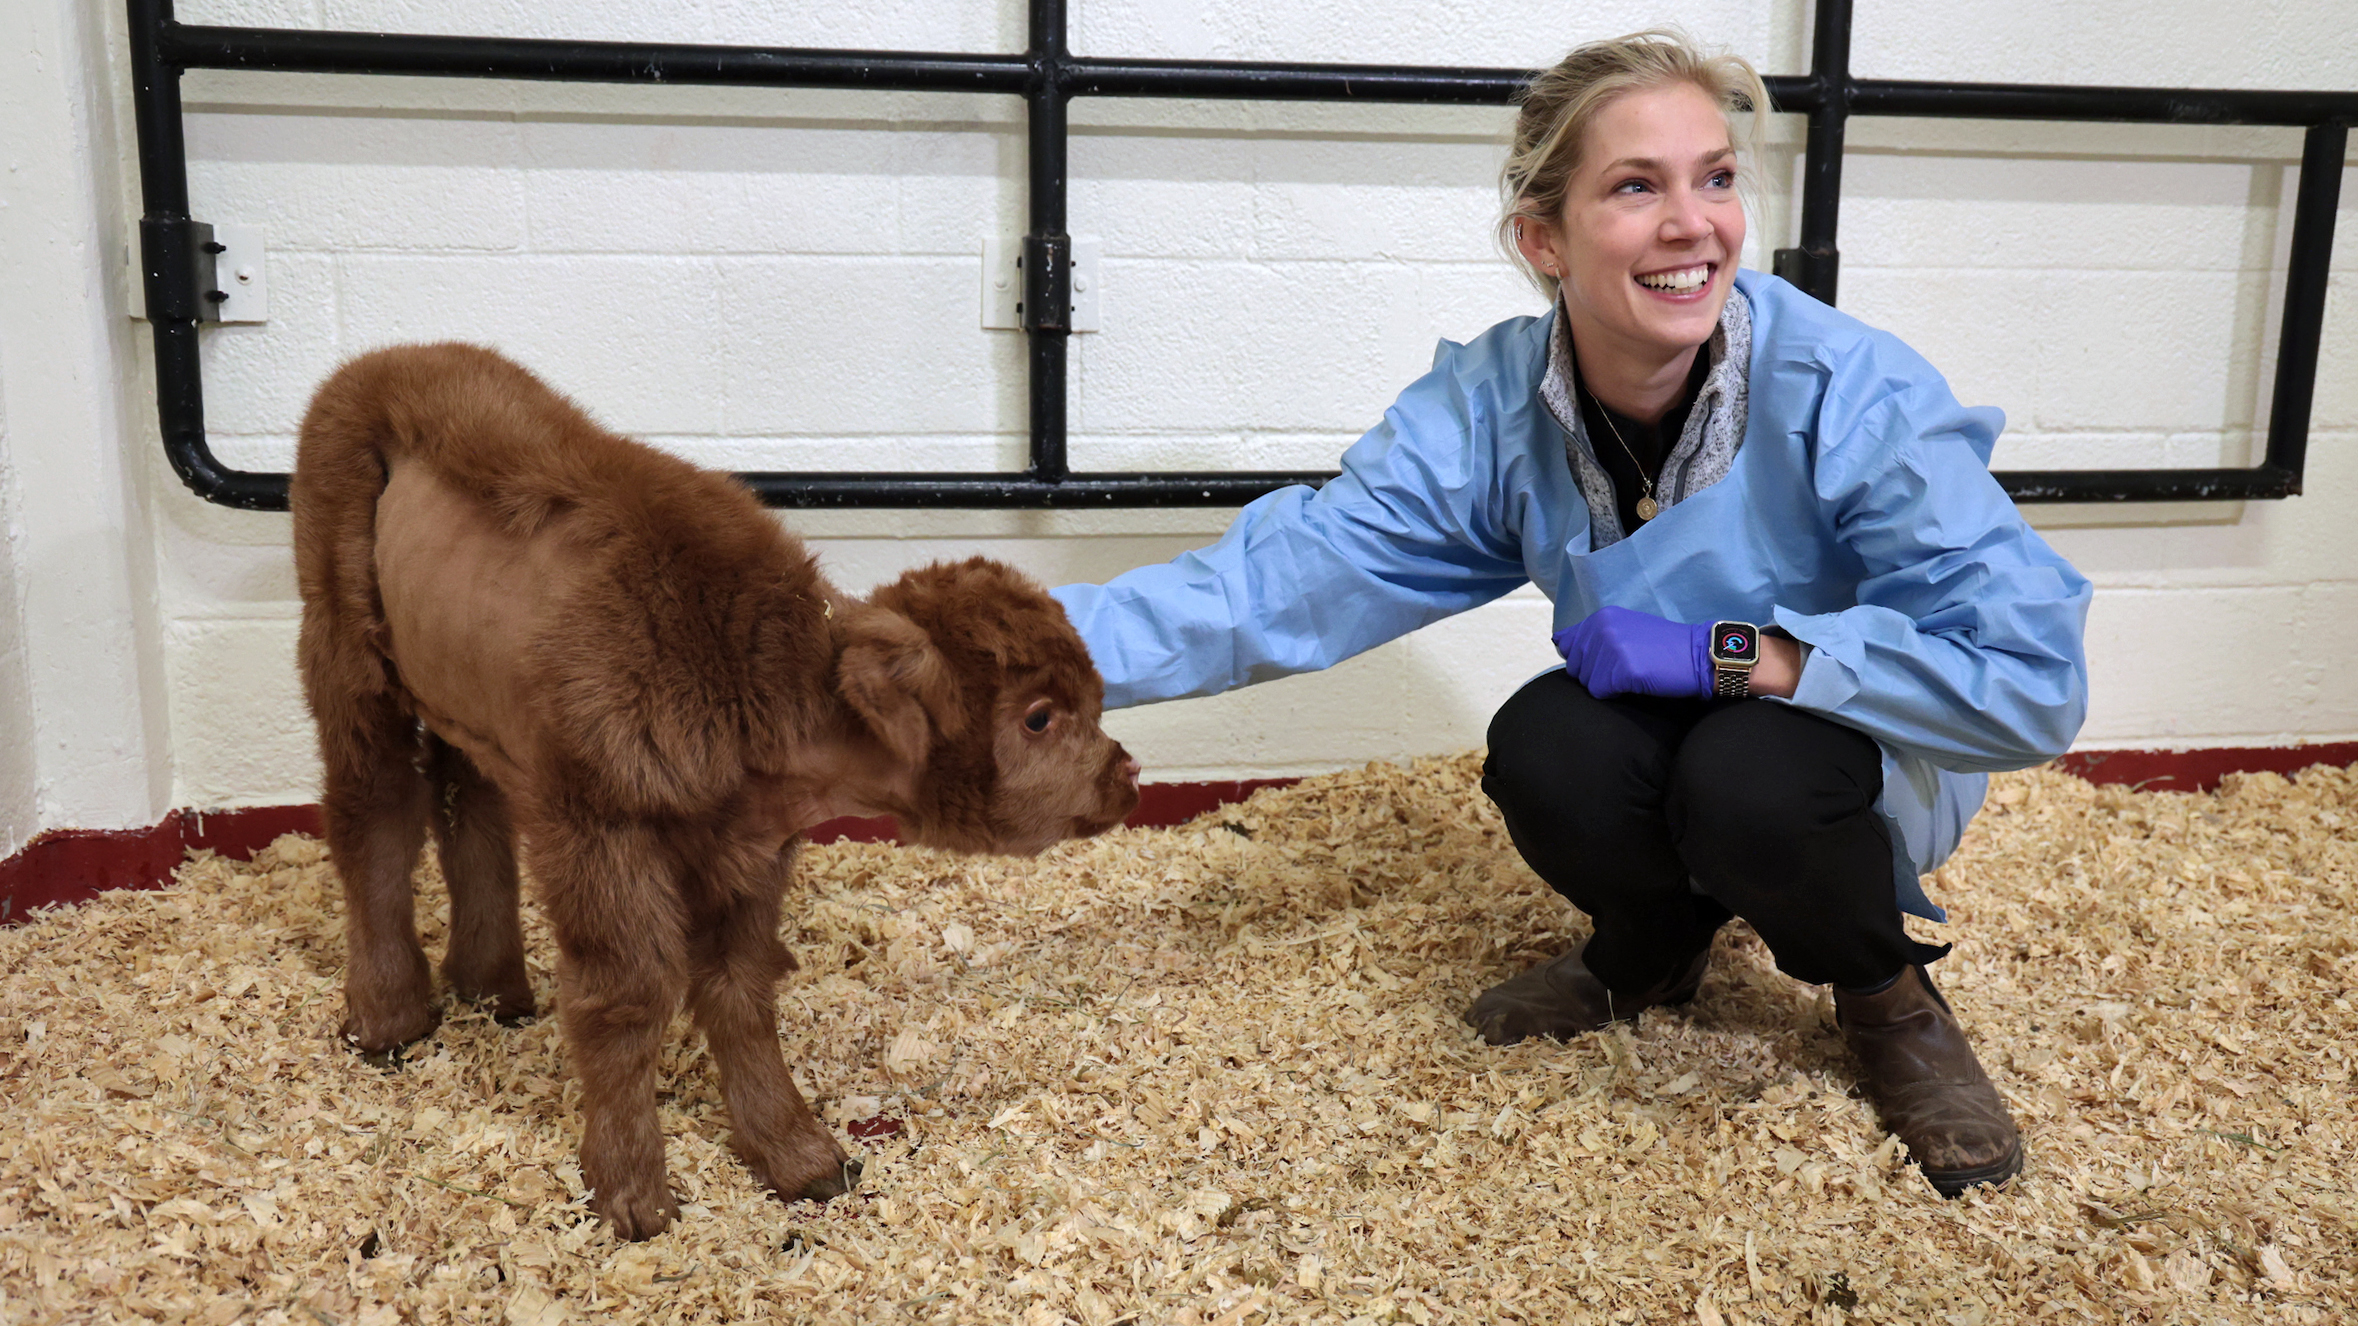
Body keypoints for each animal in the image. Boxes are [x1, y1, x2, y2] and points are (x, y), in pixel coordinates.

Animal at [294, 337, 1141, 1226]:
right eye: (1038, 717)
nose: (1125, 771)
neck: (746, 673)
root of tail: (384, 359)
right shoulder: (599, 831)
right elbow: (627, 998)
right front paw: (630, 1189)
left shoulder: (747, 850)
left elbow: (741, 990)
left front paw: (797, 1154)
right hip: (349, 662)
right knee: (374, 816)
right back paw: (390, 1016)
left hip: (465, 705)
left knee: (467, 801)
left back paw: (491, 987)